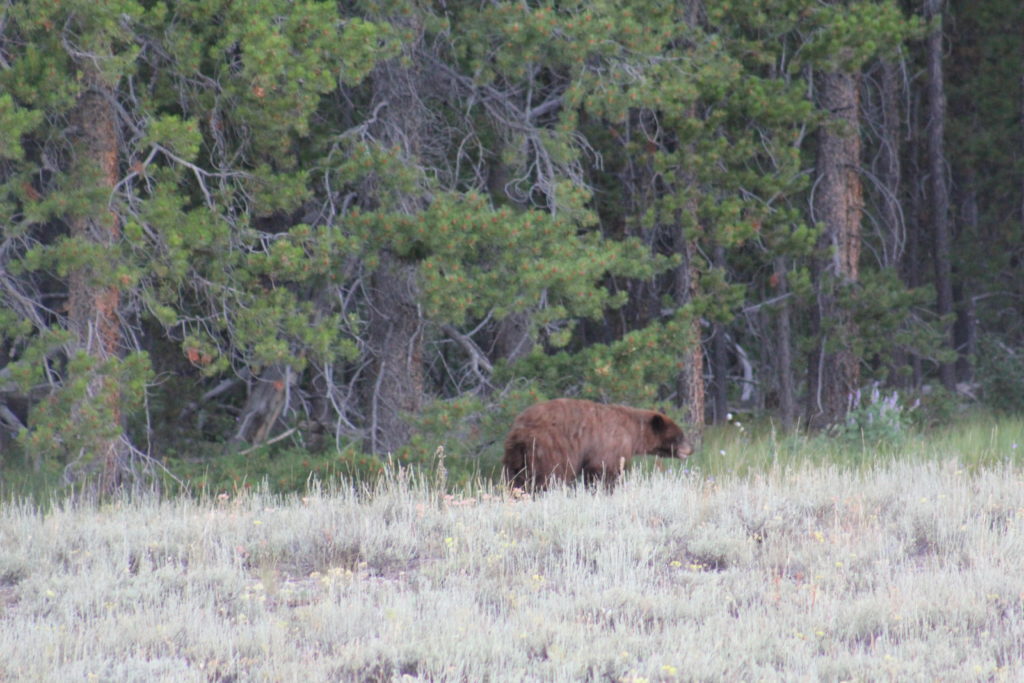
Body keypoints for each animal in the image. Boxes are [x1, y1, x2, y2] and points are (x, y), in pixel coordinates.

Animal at [503, 401, 696, 491]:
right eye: (680, 435)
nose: (691, 449)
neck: (632, 431)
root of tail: (520, 430)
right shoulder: (611, 443)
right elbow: (605, 471)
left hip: (515, 453)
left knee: (515, 476)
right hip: (549, 447)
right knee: (550, 476)